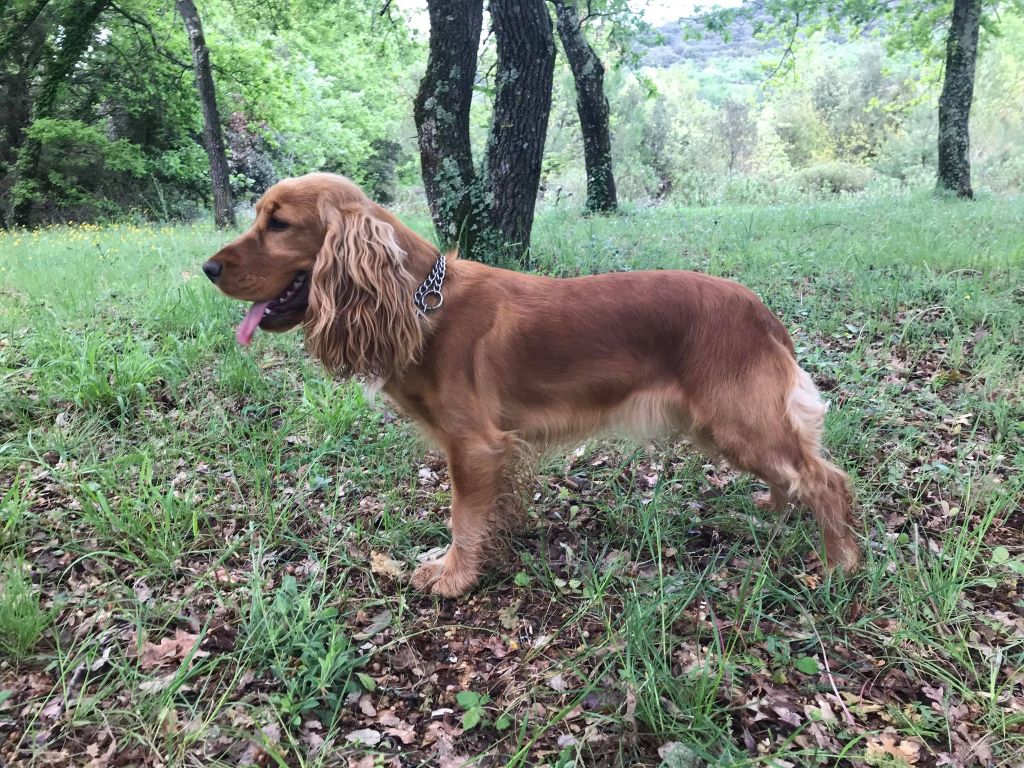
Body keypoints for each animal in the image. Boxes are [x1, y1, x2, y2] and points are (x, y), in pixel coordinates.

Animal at [203, 173, 860, 593]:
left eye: (279, 223)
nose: (207, 268)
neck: (420, 303)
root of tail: (762, 312)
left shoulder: (474, 445)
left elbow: (462, 518)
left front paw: (452, 577)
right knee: (793, 474)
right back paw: (775, 508)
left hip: (739, 419)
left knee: (827, 480)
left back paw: (839, 565)